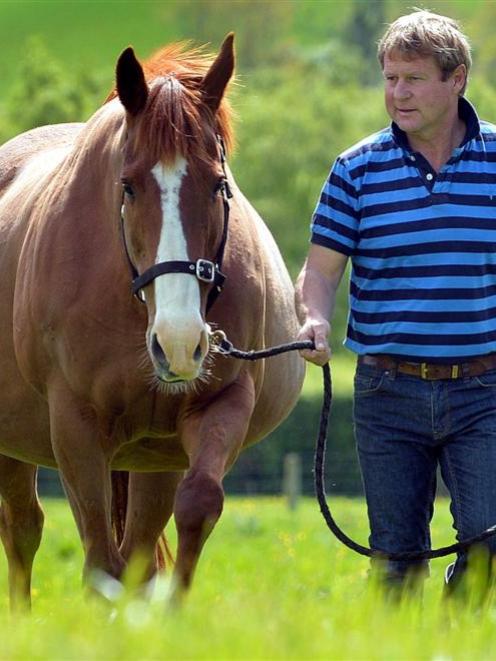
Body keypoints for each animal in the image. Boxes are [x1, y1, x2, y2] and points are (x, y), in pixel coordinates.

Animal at [0, 34, 306, 608]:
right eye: (129, 186)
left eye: (218, 185)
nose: (179, 343)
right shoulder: (75, 426)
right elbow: (100, 561)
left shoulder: (213, 409)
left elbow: (196, 507)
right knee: (22, 529)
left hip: (149, 457)